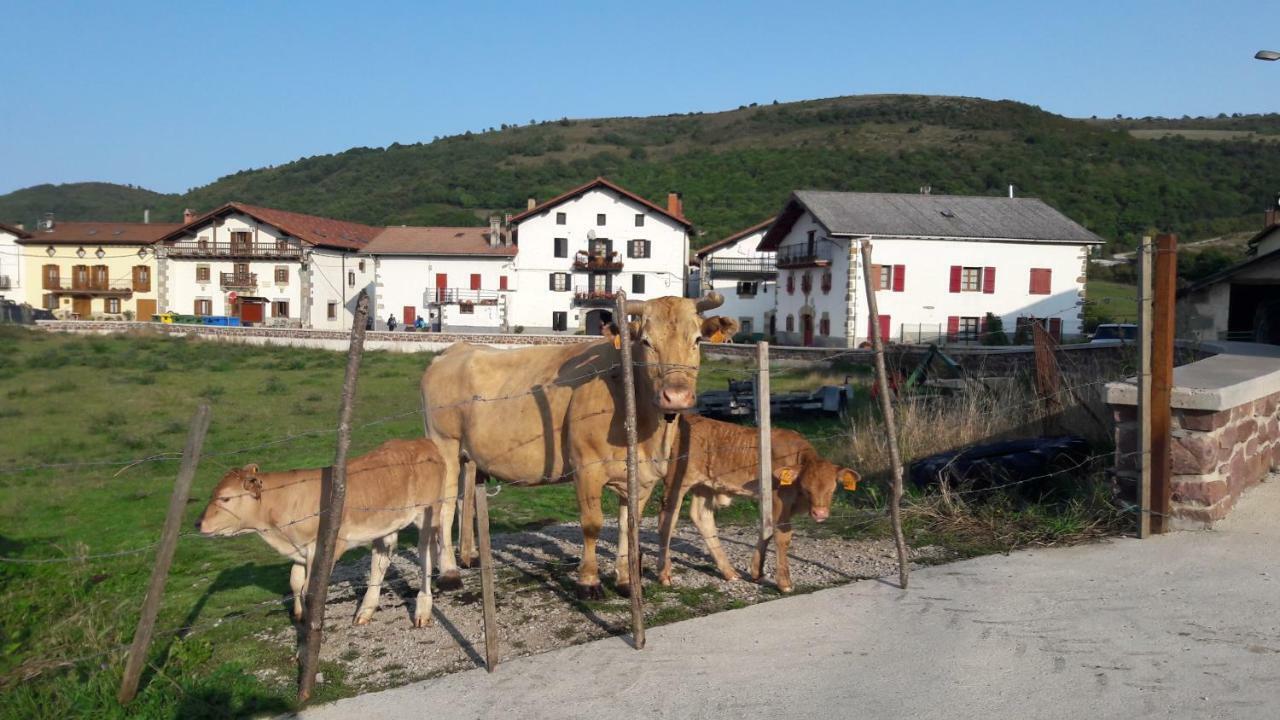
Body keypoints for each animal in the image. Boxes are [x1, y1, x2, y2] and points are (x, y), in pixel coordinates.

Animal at [192, 435, 448, 625]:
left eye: (225, 498)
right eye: (213, 494)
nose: (198, 523)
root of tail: (423, 442)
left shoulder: (325, 547)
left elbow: (310, 591)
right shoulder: (300, 549)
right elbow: (296, 581)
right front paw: (298, 615)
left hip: (428, 513)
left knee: (426, 555)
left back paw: (423, 609)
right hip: (384, 524)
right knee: (380, 562)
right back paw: (365, 610)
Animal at [427, 289, 732, 594]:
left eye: (697, 340)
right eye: (646, 341)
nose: (676, 396)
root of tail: (455, 350)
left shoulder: (643, 477)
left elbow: (627, 525)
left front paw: (626, 581)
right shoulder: (587, 466)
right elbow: (592, 524)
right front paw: (589, 581)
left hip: (468, 455)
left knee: (464, 500)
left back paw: (469, 556)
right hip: (444, 446)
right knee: (444, 507)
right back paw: (449, 573)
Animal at [660, 412, 860, 591]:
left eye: (832, 489)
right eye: (806, 488)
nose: (820, 513)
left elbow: (767, 528)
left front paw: (757, 571)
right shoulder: (778, 499)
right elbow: (782, 535)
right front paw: (784, 583)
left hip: (705, 486)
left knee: (701, 517)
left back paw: (729, 572)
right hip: (676, 480)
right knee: (667, 519)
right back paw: (664, 574)